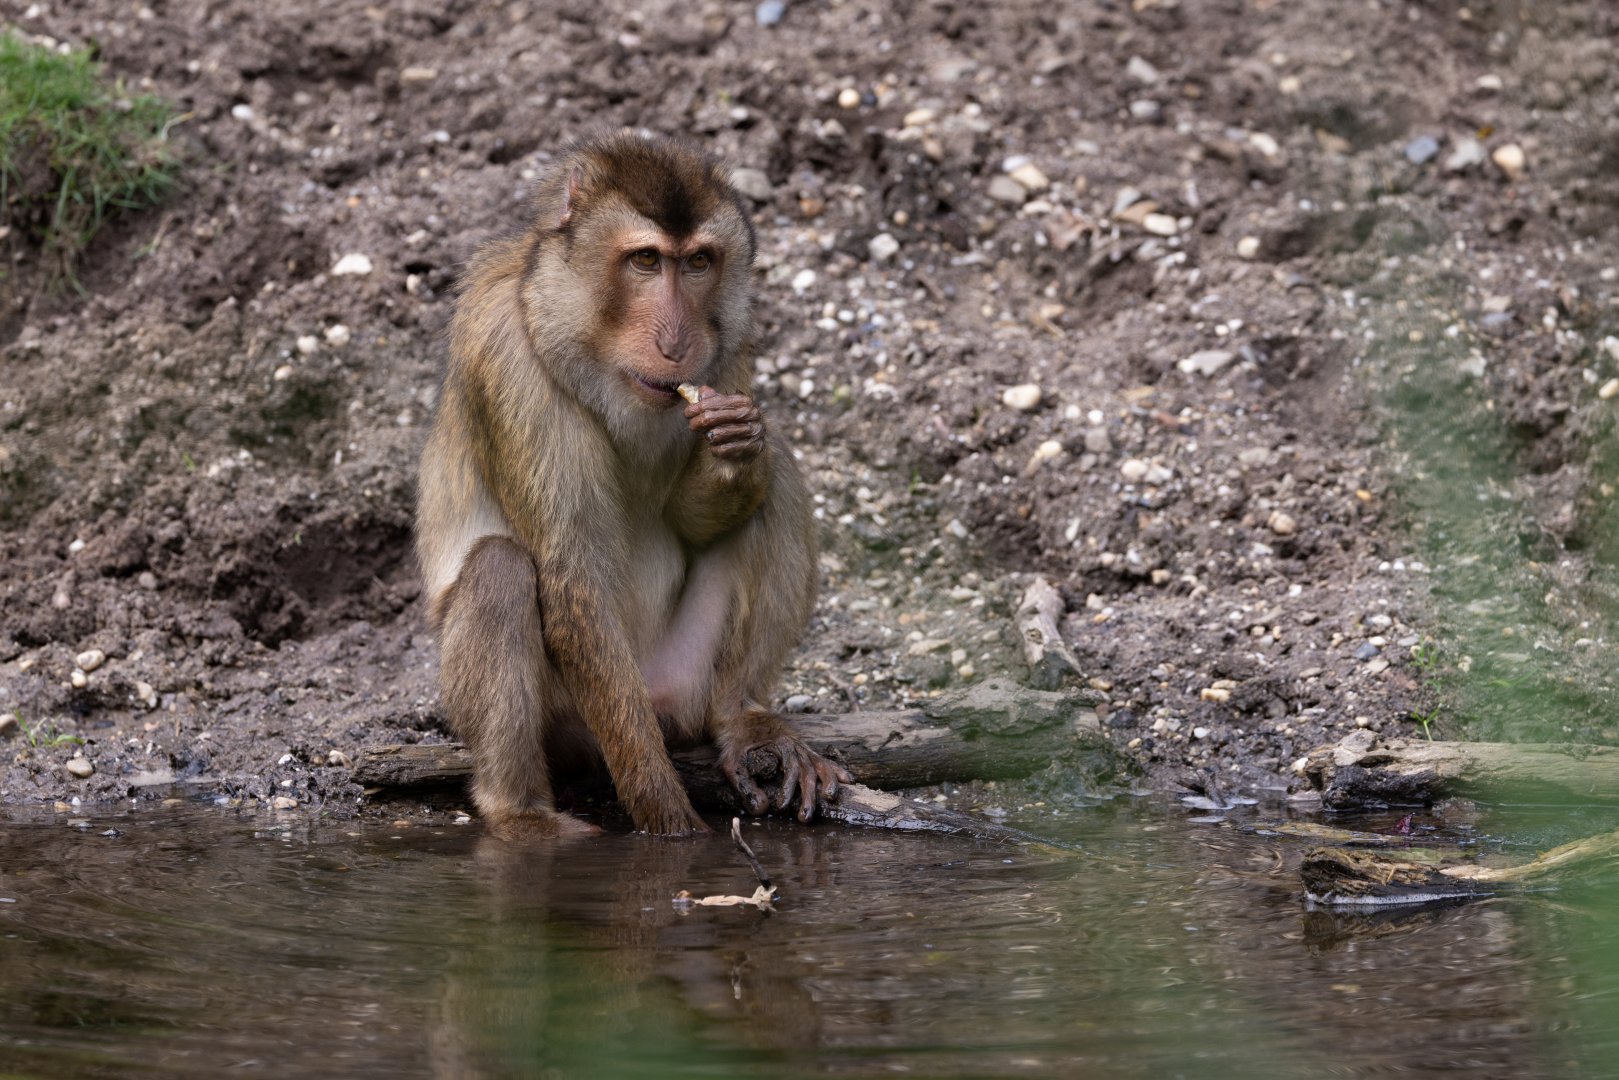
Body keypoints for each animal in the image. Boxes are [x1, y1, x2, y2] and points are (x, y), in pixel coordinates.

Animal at [415, 130, 850, 838]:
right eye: (645, 261)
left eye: (698, 262)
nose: (677, 342)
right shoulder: (507, 355)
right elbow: (573, 585)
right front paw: (672, 827)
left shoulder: (730, 345)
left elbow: (702, 512)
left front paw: (736, 444)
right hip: (577, 717)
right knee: (499, 571)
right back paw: (521, 812)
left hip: (681, 684)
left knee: (778, 479)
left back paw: (743, 718)